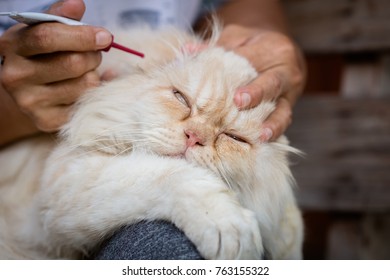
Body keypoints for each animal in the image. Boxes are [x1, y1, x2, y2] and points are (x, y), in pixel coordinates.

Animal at [0, 24, 304, 260]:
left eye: (233, 137)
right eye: (181, 99)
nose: (194, 137)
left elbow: (290, 229)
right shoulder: (63, 185)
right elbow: (174, 178)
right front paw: (230, 230)